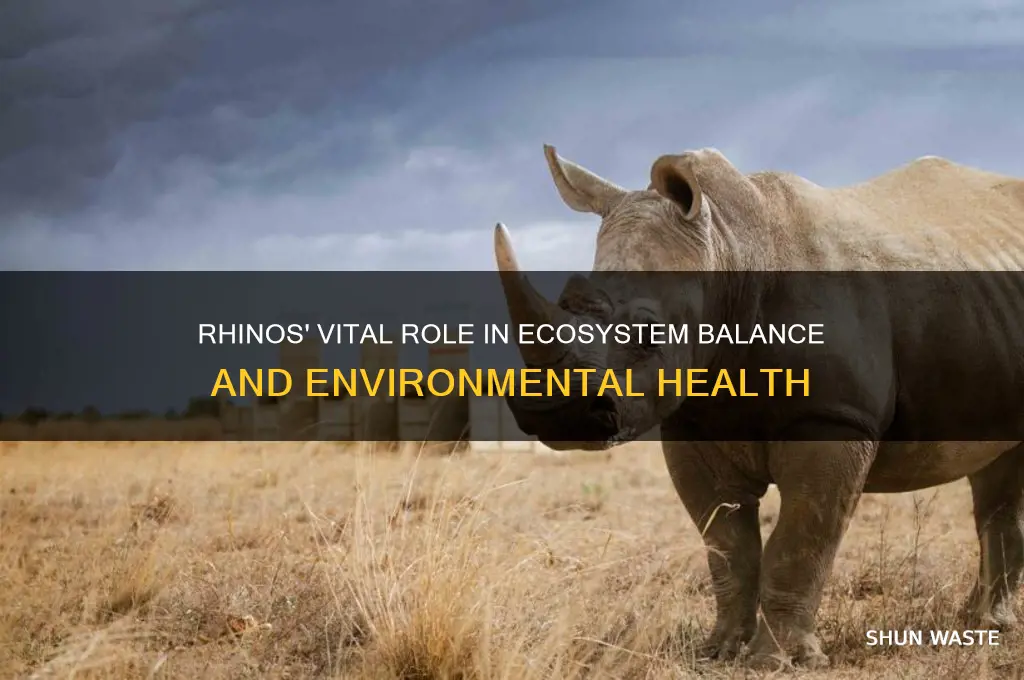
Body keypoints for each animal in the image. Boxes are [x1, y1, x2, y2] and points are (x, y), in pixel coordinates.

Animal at [493, 144, 1024, 669]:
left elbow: (799, 542)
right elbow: (728, 545)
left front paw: (778, 662)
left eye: (647, 334)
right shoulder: (692, 419)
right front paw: (719, 651)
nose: (557, 416)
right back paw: (981, 624)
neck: (728, 249)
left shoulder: (833, 418)